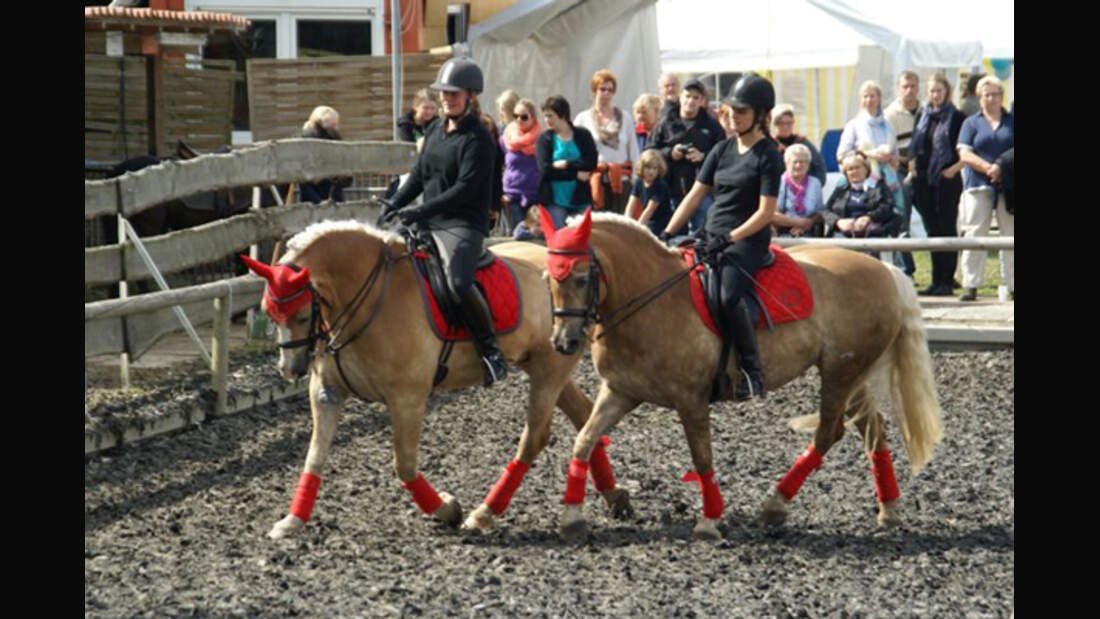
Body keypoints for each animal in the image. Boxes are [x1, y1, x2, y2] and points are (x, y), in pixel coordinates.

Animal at [242, 219, 638, 540]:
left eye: (301, 313)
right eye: (268, 312)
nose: (290, 369)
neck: (366, 300)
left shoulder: (407, 398)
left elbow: (404, 465)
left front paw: (448, 509)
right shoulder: (326, 393)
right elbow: (314, 456)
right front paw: (291, 521)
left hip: (550, 370)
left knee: (537, 437)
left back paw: (485, 514)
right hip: (544, 367)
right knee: (584, 416)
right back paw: (615, 496)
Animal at [541, 205, 946, 540]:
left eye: (581, 278)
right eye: (549, 279)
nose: (564, 341)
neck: (651, 301)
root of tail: (885, 270)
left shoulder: (690, 400)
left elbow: (702, 457)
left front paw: (709, 522)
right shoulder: (620, 391)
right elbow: (585, 440)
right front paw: (572, 518)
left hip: (841, 373)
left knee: (829, 434)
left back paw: (774, 506)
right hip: (850, 373)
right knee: (873, 430)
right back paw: (889, 510)